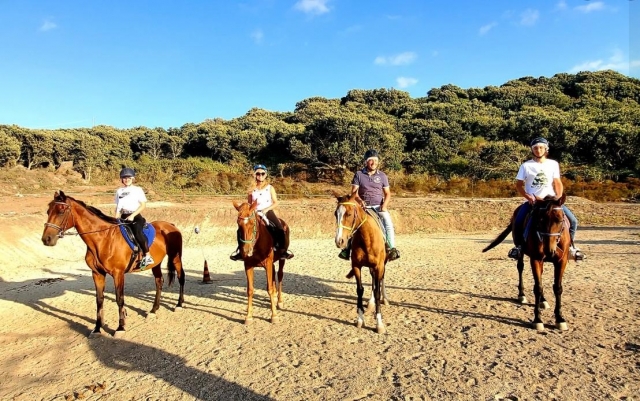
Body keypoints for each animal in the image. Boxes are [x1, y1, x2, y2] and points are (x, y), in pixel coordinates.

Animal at [41, 190, 185, 337]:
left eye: (61, 211)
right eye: (48, 211)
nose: (46, 239)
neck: (103, 239)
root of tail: (171, 225)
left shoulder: (118, 274)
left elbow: (119, 298)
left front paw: (120, 327)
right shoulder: (97, 273)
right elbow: (99, 299)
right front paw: (97, 328)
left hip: (175, 257)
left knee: (181, 277)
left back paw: (179, 305)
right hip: (156, 264)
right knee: (159, 281)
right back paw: (153, 310)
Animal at [333, 191, 390, 334]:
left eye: (349, 213)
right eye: (336, 214)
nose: (339, 241)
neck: (367, 237)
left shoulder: (379, 266)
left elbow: (377, 290)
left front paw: (379, 324)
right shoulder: (356, 266)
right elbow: (360, 290)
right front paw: (360, 319)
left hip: (382, 264)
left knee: (381, 280)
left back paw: (385, 299)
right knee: (373, 281)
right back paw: (371, 303)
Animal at [482, 194, 571, 331]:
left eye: (560, 220)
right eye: (540, 220)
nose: (549, 251)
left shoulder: (561, 261)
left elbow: (557, 288)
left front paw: (560, 318)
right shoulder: (535, 259)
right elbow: (537, 288)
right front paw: (537, 320)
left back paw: (543, 300)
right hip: (521, 252)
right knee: (520, 268)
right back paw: (522, 295)